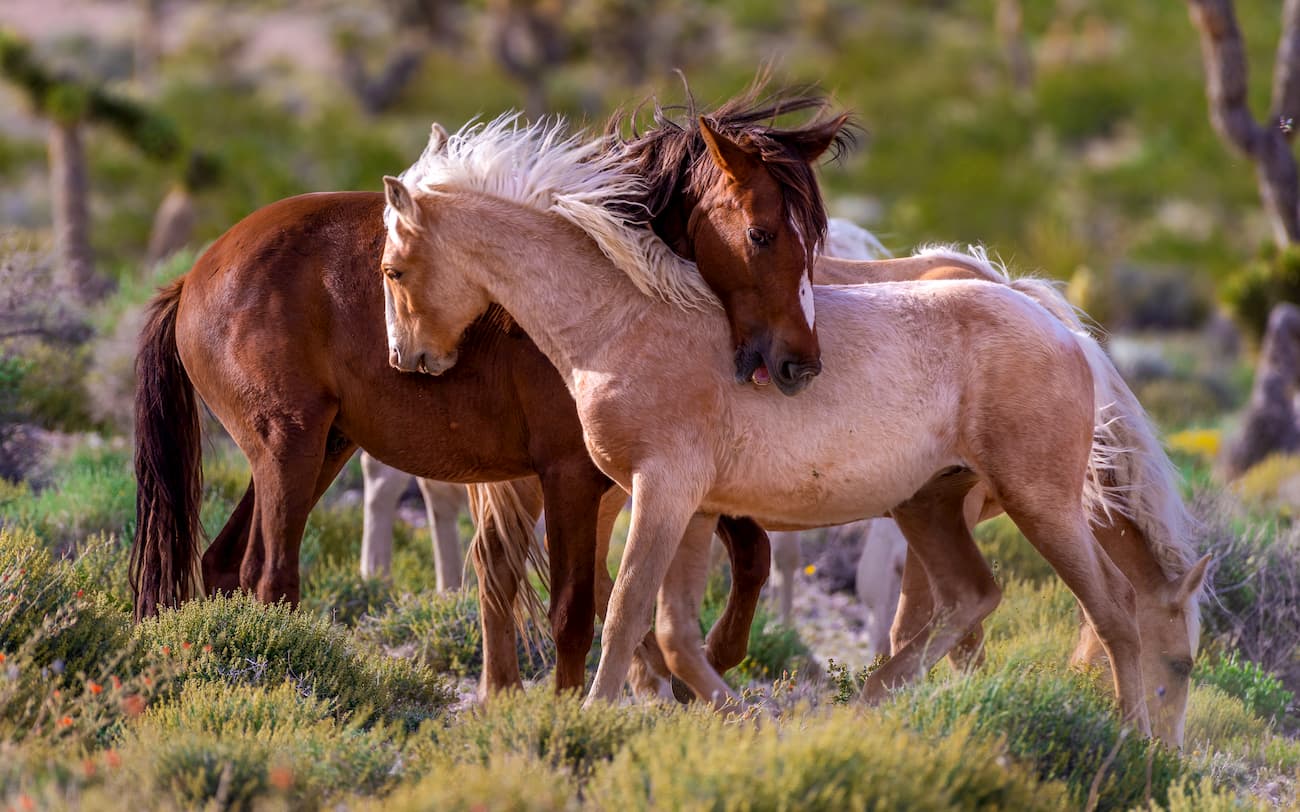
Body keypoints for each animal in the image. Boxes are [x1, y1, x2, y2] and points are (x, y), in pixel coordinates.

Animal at [131, 90, 852, 696]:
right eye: (761, 234)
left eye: (813, 236)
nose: (799, 363)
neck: (601, 299)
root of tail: (194, 276)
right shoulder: (571, 475)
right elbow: (574, 609)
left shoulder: (646, 476)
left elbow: (733, 560)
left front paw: (702, 662)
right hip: (290, 447)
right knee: (271, 574)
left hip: (322, 447)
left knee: (223, 564)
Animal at [382, 116, 1206, 737]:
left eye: (391, 268)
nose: (410, 357)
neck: (622, 320)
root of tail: (1064, 333)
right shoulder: (688, 508)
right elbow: (673, 631)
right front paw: (731, 714)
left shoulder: (662, 493)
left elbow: (623, 614)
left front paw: (593, 717)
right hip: (933, 505)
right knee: (972, 598)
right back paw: (872, 705)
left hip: (1038, 504)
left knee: (1110, 614)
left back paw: (1129, 745)